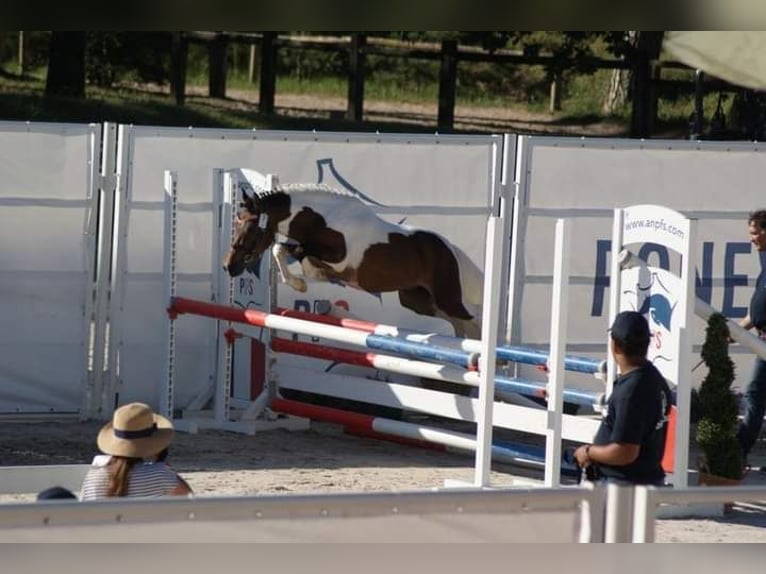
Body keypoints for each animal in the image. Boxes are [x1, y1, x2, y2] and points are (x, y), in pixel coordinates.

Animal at [224, 182, 486, 340]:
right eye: (236, 223)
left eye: (251, 229)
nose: (229, 266)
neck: (323, 220)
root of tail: (449, 249)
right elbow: (282, 249)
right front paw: (302, 283)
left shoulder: (338, 258)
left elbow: (302, 254)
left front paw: (303, 282)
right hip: (418, 301)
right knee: (461, 323)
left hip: (448, 297)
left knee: (475, 314)